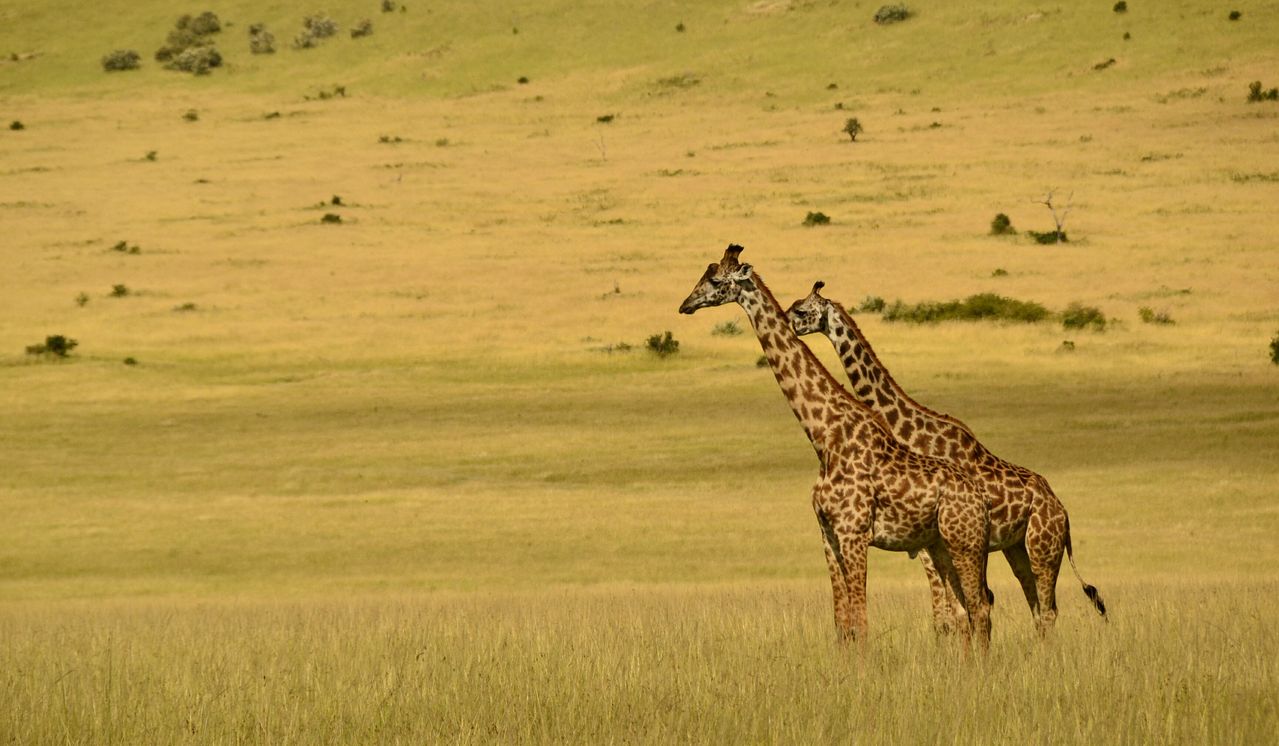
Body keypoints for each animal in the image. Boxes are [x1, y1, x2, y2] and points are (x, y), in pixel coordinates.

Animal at [678, 244, 992, 649]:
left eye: (716, 280)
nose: (685, 305)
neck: (825, 437)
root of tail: (979, 498)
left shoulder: (853, 532)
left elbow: (861, 622)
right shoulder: (827, 534)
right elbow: (843, 626)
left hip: (963, 543)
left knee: (979, 608)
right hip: (942, 546)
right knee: (965, 610)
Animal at [786, 281, 1106, 634]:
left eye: (801, 310)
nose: (787, 323)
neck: (911, 432)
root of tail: (1063, 511)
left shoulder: (933, 541)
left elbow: (954, 614)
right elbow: (950, 614)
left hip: (1041, 547)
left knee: (1044, 608)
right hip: (1015, 547)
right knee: (1035, 604)